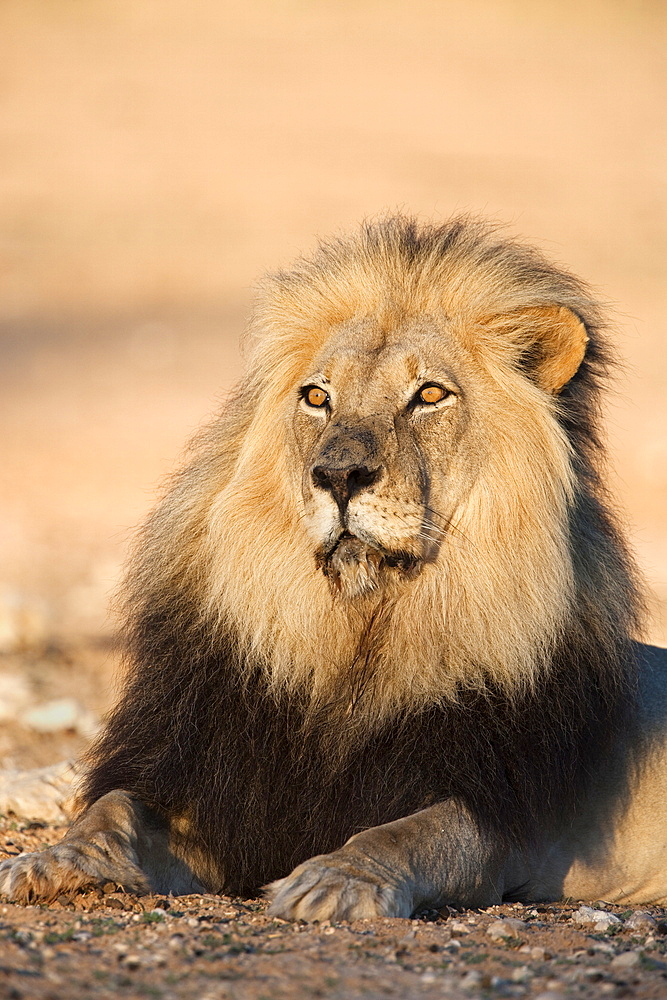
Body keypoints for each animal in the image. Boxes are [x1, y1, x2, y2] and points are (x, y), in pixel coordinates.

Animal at [1, 215, 667, 916]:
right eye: (318, 396)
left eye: (430, 394)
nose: (338, 475)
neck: (354, 631)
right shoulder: (215, 787)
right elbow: (113, 806)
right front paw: (56, 860)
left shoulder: (499, 817)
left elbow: (407, 833)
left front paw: (336, 880)